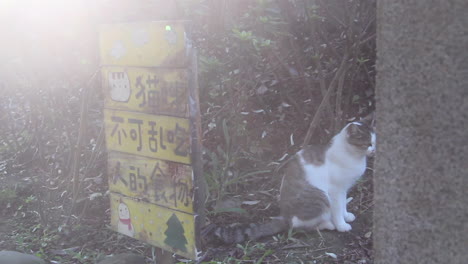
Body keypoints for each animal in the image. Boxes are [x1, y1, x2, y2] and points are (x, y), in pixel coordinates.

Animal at [210, 115, 374, 243]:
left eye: (374, 141)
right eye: (367, 143)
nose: (374, 149)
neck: (353, 156)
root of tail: (285, 217)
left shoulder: (344, 188)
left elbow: (343, 205)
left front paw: (347, 216)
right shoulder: (335, 191)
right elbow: (338, 209)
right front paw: (342, 225)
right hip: (320, 198)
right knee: (299, 226)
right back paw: (328, 224)